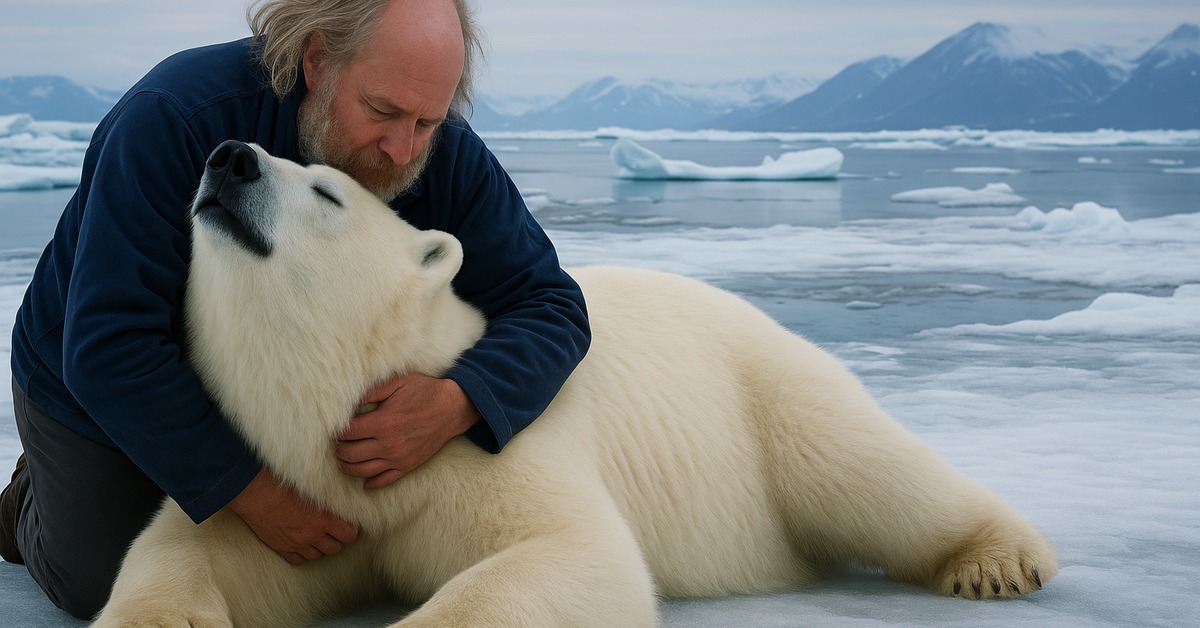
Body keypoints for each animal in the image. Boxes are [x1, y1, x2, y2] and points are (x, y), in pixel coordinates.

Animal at [94, 141, 1057, 627]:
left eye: (326, 192)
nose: (230, 158)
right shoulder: (290, 490)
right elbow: (185, 550)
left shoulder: (482, 451)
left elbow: (572, 556)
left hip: (769, 392)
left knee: (865, 469)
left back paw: (999, 561)